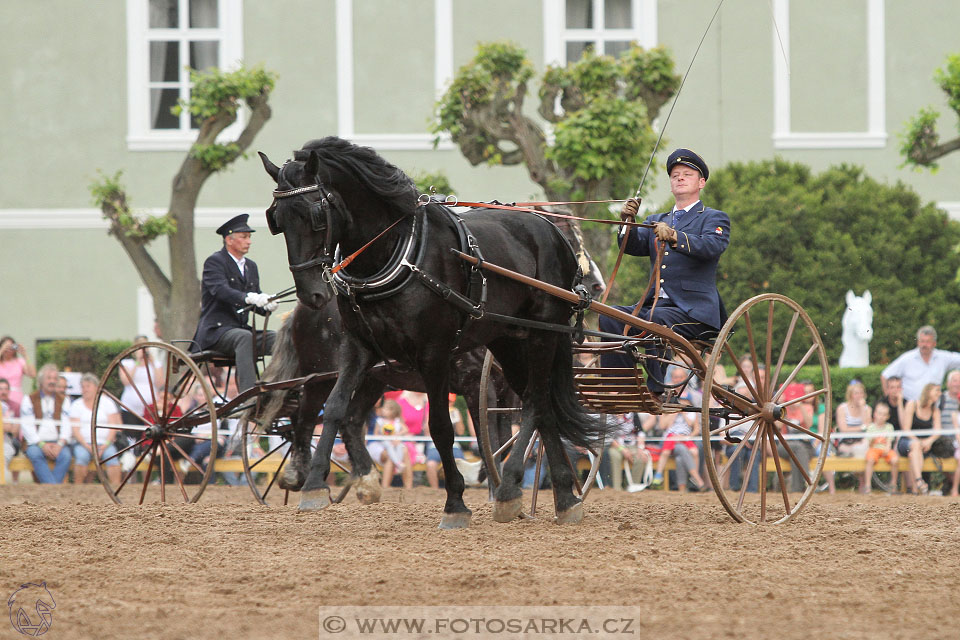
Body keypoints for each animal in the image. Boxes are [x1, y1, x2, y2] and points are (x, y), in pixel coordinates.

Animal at [258, 136, 612, 528]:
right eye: (277, 219)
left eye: (315, 215)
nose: (313, 293)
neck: (395, 256)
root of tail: (546, 234)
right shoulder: (359, 349)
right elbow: (335, 409)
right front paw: (316, 486)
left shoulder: (439, 356)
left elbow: (447, 427)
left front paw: (457, 501)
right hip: (497, 345)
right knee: (322, 415)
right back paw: (560, 496)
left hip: (538, 337)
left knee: (537, 403)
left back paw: (521, 491)